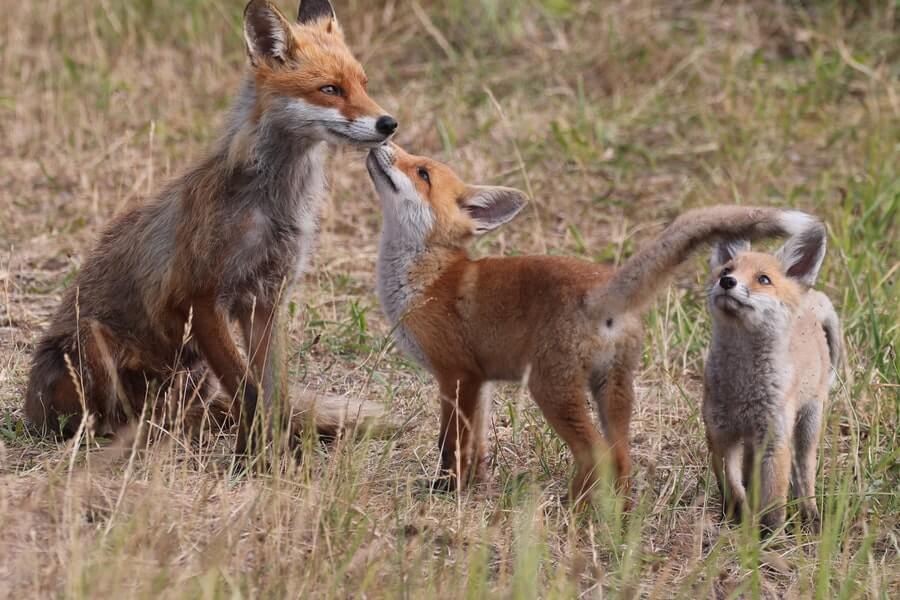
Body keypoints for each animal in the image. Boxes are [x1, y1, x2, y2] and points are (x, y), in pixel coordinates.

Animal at [23, 0, 398, 452]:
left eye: (363, 84)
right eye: (330, 89)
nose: (388, 123)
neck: (273, 206)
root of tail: (29, 408)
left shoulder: (265, 300)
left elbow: (273, 393)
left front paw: (275, 453)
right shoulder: (202, 298)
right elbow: (249, 391)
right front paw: (263, 456)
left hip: (193, 374)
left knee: (179, 416)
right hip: (99, 346)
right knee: (110, 421)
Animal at [366, 142, 824, 502]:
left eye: (422, 172)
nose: (383, 138)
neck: (429, 277)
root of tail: (602, 285)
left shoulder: (455, 375)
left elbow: (450, 444)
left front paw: (446, 490)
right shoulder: (480, 382)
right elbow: (476, 446)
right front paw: (473, 487)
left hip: (550, 389)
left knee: (596, 454)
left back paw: (571, 510)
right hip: (613, 392)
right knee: (621, 458)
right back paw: (610, 515)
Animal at [700, 223, 840, 532]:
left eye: (763, 279)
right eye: (727, 269)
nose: (726, 282)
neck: (742, 388)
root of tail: (809, 299)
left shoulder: (775, 440)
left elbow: (774, 501)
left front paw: (769, 536)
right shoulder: (720, 435)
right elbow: (732, 485)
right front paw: (738, 517)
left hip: (808, 422)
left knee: (804, 472)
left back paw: (811, 514)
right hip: (753, 440)